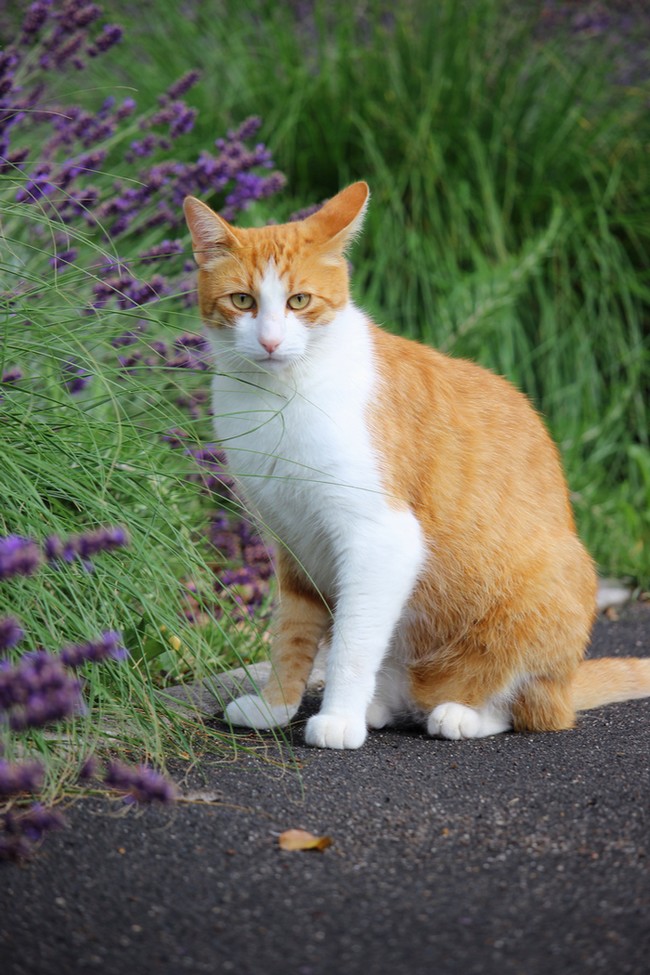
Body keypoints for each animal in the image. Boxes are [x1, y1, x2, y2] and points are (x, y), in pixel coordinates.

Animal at [182, 181, 648, 748]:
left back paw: (458, 713)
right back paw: (383, 706)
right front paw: (276, 705)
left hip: (547, 602)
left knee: (528, 707)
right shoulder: (293, 543)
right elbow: (290, 634)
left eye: (299, 301)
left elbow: (350, 645)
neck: (277, 399)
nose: (270, 341)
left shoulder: (380, 536)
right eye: (243, 301)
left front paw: (338, 719)